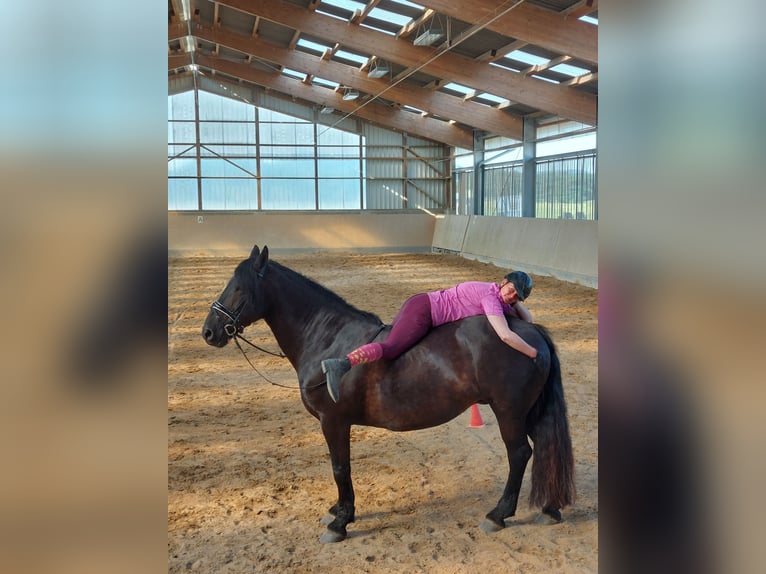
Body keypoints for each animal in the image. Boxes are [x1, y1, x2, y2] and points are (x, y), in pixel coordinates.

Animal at [202, 245, 575, 543]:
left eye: (238, 288)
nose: (209, 332)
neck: (327, 340)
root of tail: (531, 334)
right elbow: (340, 468)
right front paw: (338, 510)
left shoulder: (333, 421)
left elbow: (340, 467)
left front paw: (340, 522)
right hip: (528, 412)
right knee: (545, 448)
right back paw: (549, 508)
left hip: (508, 411)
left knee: (519, 454)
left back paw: (498, 515)